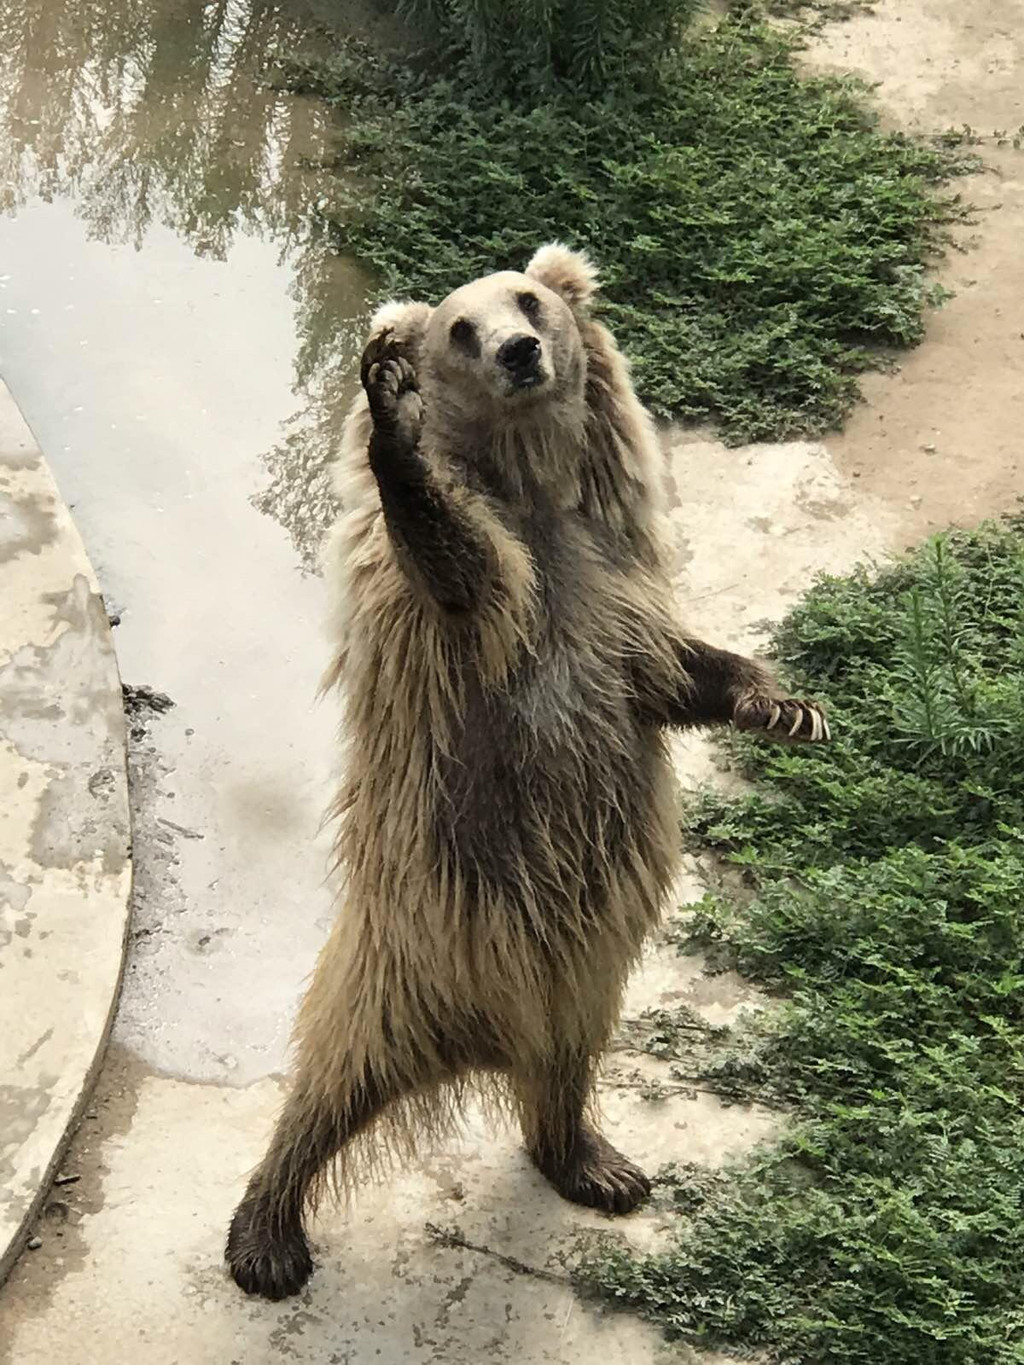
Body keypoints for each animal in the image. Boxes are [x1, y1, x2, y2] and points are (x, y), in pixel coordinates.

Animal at [228, 245, 830, 1299]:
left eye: (529, 300)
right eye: (459, 328)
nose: (518, 351)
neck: (537, 493)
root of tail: (483, 1030)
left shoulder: (611, 592)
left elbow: (681, 671)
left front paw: (786, 705)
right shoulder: (478, 612)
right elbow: (452, 558)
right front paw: (391, 413)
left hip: (586, 958)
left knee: (566, 1064)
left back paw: (596, 1161)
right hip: (418, 941)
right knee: (332, 1078)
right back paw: (266, 1234)